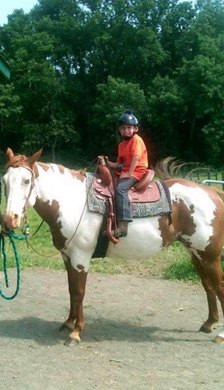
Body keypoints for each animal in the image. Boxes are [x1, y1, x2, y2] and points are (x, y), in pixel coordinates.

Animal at [3, 149, 224, 344]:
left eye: (26, 181)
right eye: (4, 181)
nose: (9, 220)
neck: (72, 202)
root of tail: (213, 192)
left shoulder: (80, 257)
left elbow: (79, 292)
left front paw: (76, 332)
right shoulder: (68, 256)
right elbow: (71, 290)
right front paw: (68, 323)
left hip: (209, 255)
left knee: (219, 286)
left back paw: (219, 335)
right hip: (195, 253)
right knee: (208, 285)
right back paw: (209, 323)